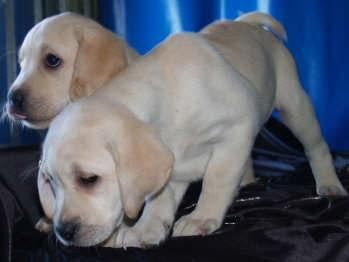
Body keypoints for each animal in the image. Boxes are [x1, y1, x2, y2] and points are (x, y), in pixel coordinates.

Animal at [38, 12, 346, 250]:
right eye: (51, 182)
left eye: (89, 179)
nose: (63, 232)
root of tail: (247, 24)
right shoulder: (173, 166)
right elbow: (159, 199)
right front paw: (146, 229)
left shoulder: (236, 129)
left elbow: (216, 180)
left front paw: (202, 217)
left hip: (296, 107)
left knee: (316, 148)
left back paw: (330, 184)